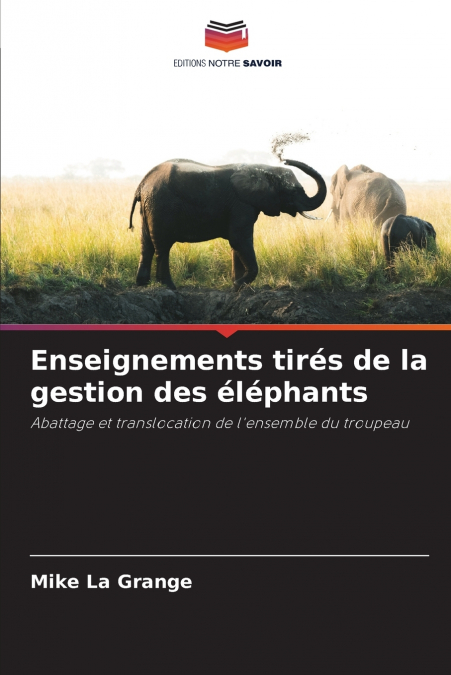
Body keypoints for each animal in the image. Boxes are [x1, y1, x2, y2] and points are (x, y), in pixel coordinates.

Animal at [129, 158, 327, 290]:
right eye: (293, 191)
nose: (285, 160)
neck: (263, 169)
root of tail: (142, 183)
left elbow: (236, 244)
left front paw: (238, 287)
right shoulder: (241, 204)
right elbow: (240, 240)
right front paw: (238, 285)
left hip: (149, 207)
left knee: (146, 244)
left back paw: (142, 284)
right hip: (160, 205)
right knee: (162, 247)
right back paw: (169, 287)